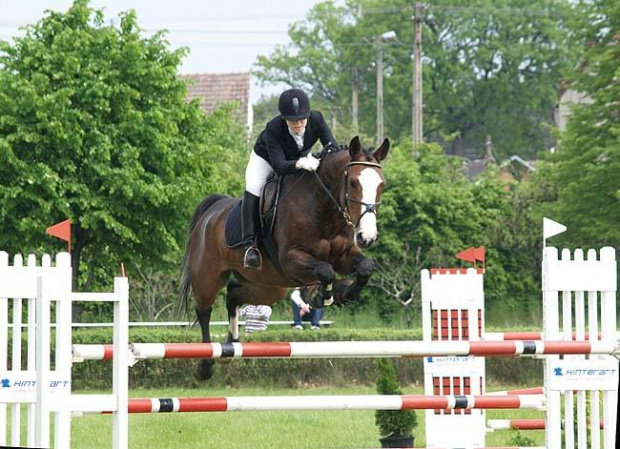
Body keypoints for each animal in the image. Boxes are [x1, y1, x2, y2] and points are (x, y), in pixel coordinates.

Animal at [179, 136, 390, 378]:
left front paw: (345, 292)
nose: (367, 237)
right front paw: (322, 295)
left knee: (233, 295)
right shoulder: (290, 260)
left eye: (382, 184)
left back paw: (231, 345)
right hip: (208, 277)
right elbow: (326, 270)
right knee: (204, 311)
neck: (322, 208)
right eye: (354, 183)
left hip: (268, 286)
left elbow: (364, 267)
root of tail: (212, 211)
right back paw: (206, 365)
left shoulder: (343, 254)